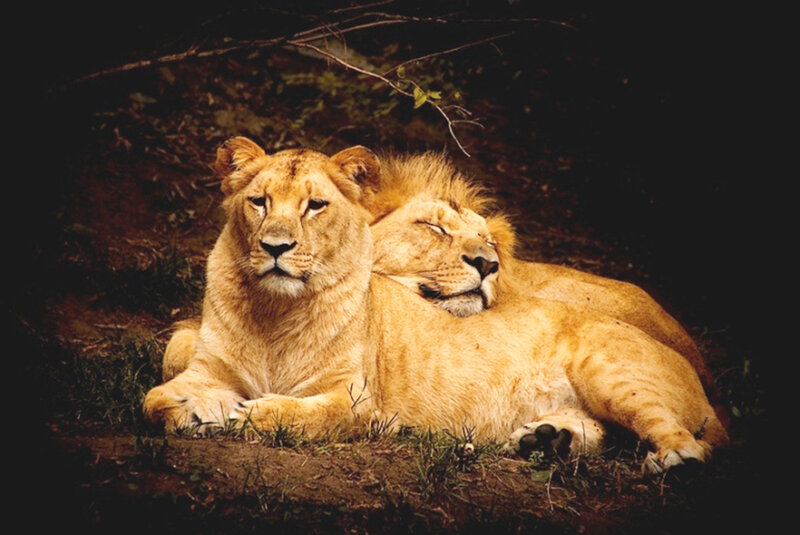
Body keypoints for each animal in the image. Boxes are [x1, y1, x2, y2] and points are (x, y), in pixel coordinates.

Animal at [144, 138, 728, 472]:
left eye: (315, 206)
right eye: (259, 202)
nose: (276, 247)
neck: (273, 311)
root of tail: (698, 373)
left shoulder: (361, 402)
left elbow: (298, 414)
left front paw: (250, 413)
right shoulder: (208, 367)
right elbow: (156, 398)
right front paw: (197, 408)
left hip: (610, 372)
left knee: (689, 441)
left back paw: (673, 459)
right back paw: (547, 441)